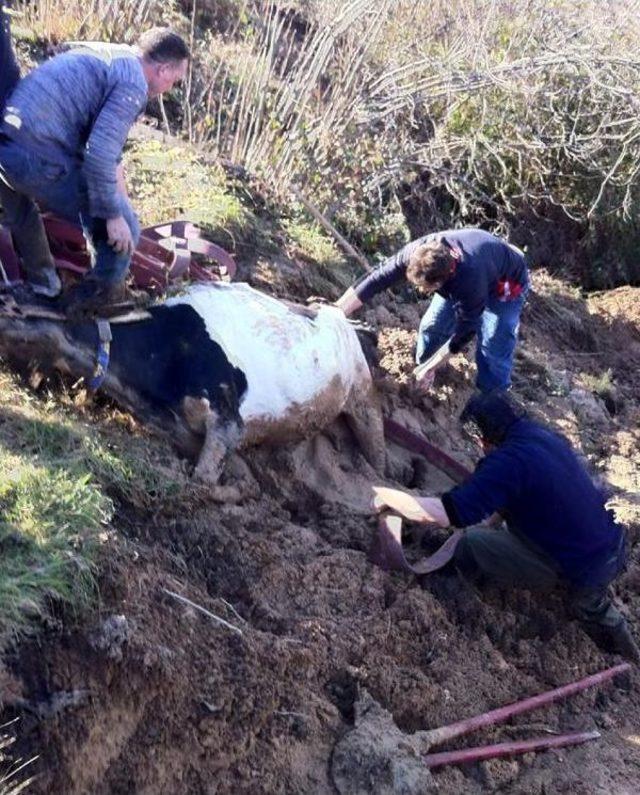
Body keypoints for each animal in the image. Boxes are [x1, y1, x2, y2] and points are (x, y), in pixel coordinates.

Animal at [0, 282, 382, 486]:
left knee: (373, 434)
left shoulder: (228, 420)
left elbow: (203, 480)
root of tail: (339, 316)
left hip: (362, 392)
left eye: (10, 304)